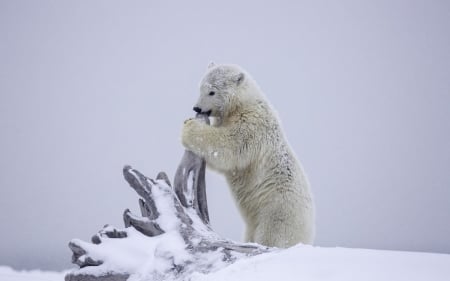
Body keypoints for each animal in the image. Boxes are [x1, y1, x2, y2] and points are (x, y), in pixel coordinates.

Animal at [181, 63, 314, 247]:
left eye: (212, 91)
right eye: (200, 87)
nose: (197, 108)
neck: (244, 103)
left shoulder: (252, 124)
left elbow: (229, 147)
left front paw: (189, 127)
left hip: (277, 211)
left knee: (272, 236)